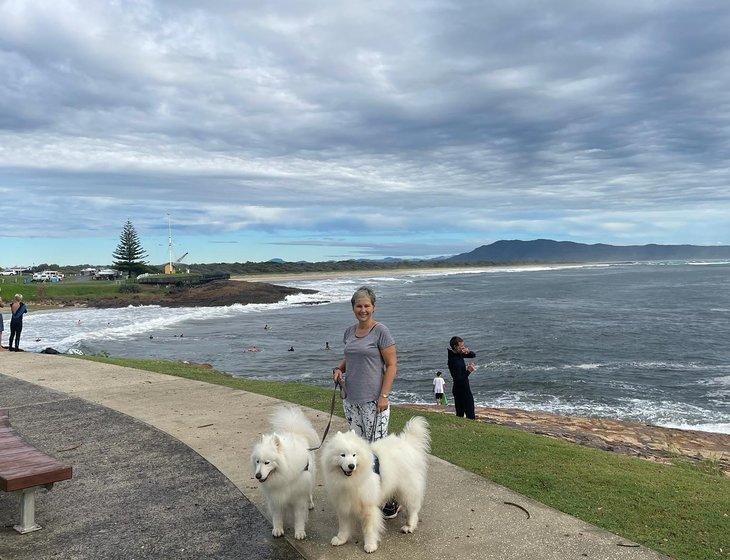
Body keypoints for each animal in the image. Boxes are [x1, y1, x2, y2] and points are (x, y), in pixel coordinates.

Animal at [250, 406, 318, 540]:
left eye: (267, 462)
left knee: (309, 492)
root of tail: (294, 431)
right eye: (257, 461)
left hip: (310, 478)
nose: (257, 476)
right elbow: (277, 515)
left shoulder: (299, 496)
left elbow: (299, 516)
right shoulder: (274, 496)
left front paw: (299, 532)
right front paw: (278, 529)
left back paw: (310, 503)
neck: (283, 475)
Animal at [322, 416, 430, 552]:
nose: (351, 466)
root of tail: (408, 442)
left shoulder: (368, 506)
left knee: (413, 509)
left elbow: (369, 529)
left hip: (407, 489)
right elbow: (344, 526)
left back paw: (409, 526)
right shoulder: (344, 504)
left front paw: (370, 545)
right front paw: (341, 539)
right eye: (342, 455)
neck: (351, 481)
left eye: (354, 455)